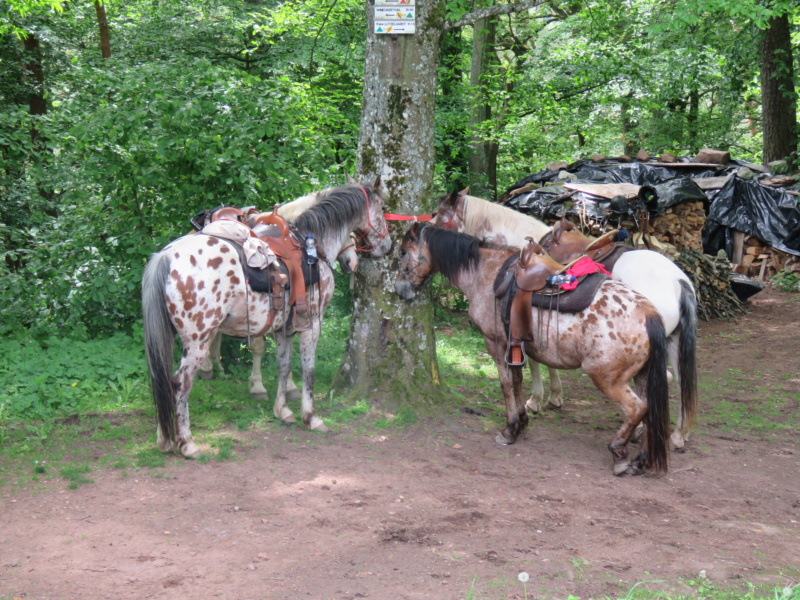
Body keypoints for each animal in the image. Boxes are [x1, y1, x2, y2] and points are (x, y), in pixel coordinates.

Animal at [145, 180, 396, 458]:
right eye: (382, 207)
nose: (387, 246)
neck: (310, 243)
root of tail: (165, 257)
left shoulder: (283, 329)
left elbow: (283, 366)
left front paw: (283, 411)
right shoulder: (312, 325)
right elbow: (308, 369)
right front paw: (311, 417)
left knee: (161, 380)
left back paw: (164, 438)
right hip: (198, 340)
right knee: (180, 382)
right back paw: (187, 442)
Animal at [396, 223, 672, 476]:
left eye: (403, 252)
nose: (400, 290)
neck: (485, 273)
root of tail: (649, 313)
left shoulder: (495, 343)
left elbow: (506, 384)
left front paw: (509, 430)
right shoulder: (513, 345)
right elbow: (518, 381)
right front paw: (522, 422)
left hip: (606, 378)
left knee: (637, 409)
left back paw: (619, 453)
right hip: (642, 376)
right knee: (651, 412)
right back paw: (640, 460)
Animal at [434, 190, 696, 448]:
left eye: (437, 214)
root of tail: (678, 280)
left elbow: (534, 361)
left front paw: (537, 400)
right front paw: (553, 396)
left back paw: (641, 432)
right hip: (673, 341)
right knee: (682, 381)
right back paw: (678, 435)